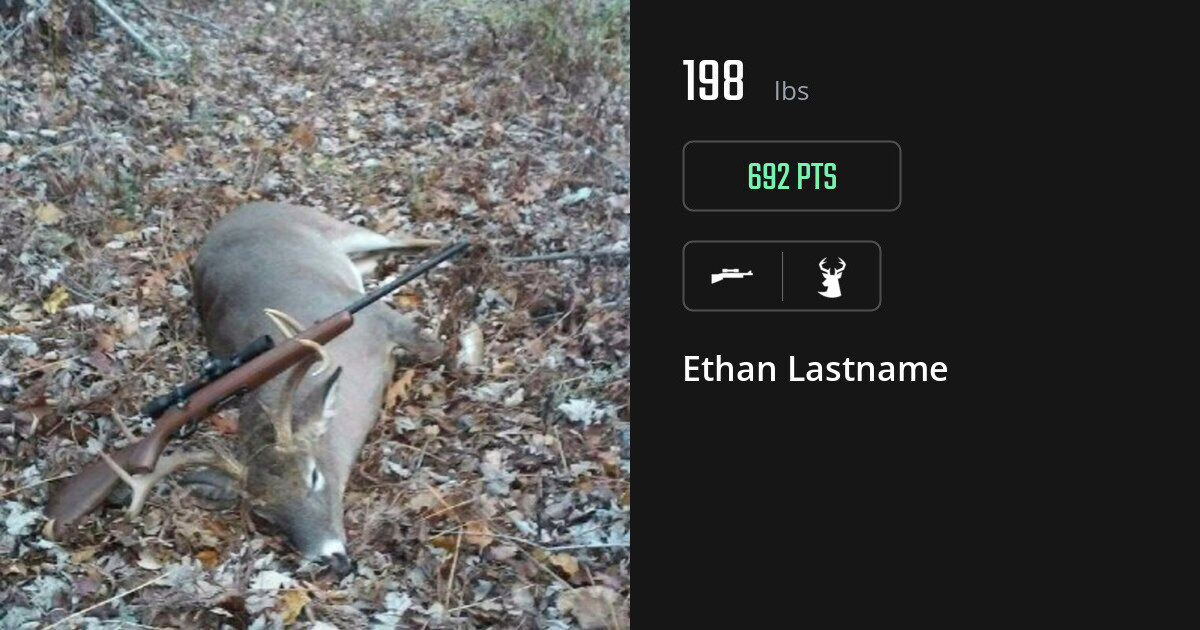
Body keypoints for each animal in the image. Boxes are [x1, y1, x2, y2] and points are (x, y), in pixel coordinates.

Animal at [103, 202, 446, 576]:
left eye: (313, 476)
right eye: (264, 514)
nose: (333, 559)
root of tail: (241, 210)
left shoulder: (377, 316)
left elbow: (437, 349)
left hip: (330, 227)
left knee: (404, 240)